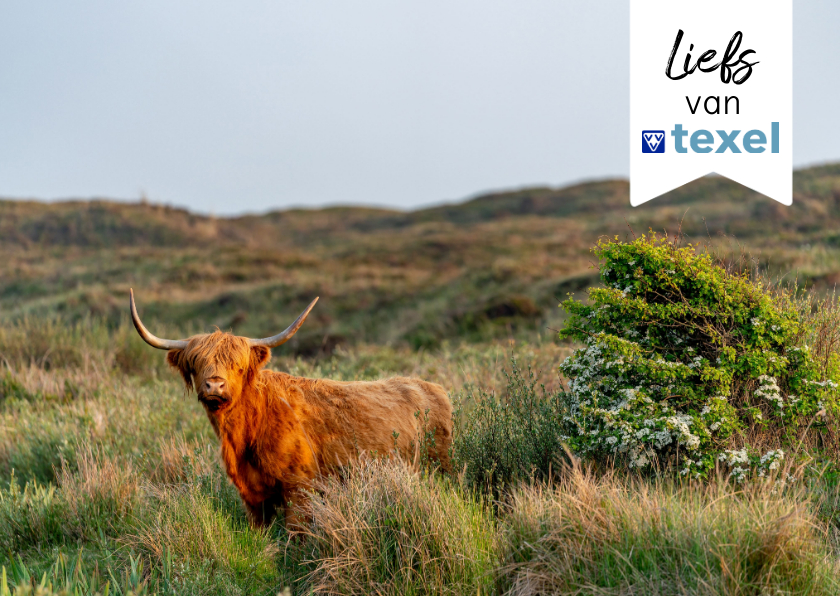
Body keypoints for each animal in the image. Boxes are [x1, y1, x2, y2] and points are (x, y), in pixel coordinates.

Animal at [128, 292, 452, 528]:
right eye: (197, 364)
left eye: (239, 366)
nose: (215, 385)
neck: (245, 432)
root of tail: (434, 388)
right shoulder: (253, 497)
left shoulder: (299, 487)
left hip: (440, 466)